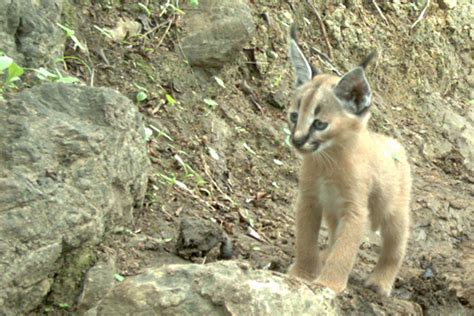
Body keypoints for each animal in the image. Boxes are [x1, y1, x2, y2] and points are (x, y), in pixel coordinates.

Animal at [286, 26, 412, 296]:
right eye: (293, 116)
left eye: (319, 124)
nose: (297, 140)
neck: (328, 161)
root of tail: (392, 141)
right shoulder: (309, 198)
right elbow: (305, 238)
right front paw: (304, 273)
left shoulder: (355, 209)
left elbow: (345, 249)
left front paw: (329, 284)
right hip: (334, 211)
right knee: (334, 234)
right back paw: (324, 256)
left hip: (393, 210)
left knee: (396, 246)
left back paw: (380, 282)